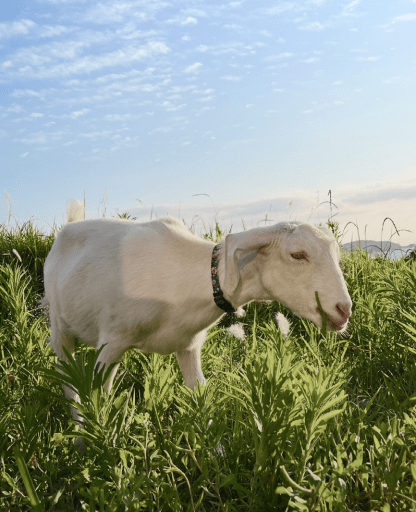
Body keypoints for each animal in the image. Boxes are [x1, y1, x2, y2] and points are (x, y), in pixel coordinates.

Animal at [41, 199, 352, 420]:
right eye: (297, 255)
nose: (344, 309)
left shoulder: (188, 346)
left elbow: (200, 398)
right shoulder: (112, 341)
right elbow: (100, 397)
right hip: (59, 325)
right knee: (67, 376)